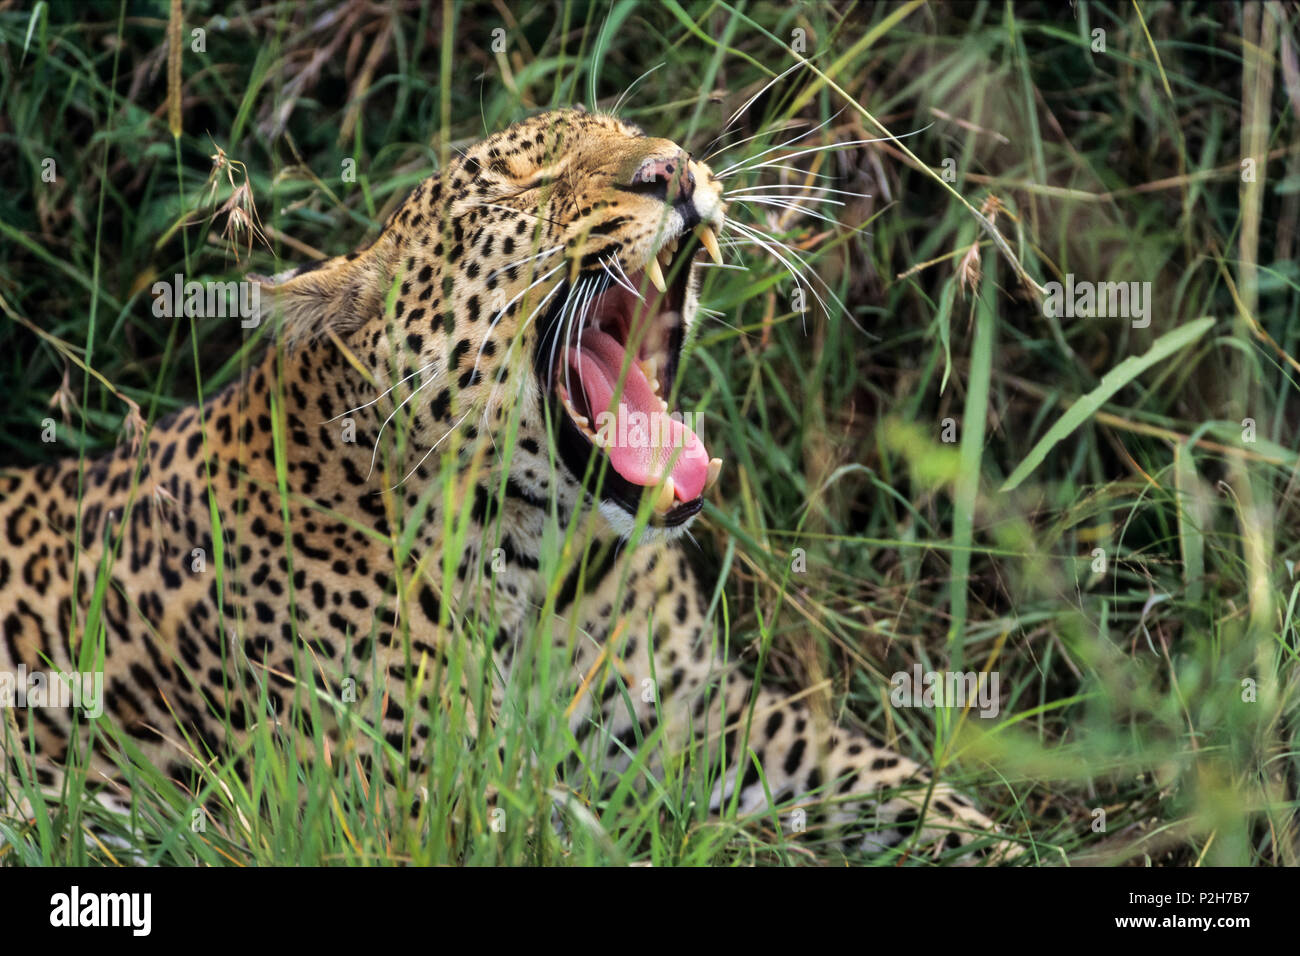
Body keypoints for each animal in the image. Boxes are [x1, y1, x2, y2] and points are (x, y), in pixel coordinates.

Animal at [0, 108, 1013, 863]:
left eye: (636, 135)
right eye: (520, 186)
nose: (673, 171)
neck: (549, 562)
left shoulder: (703, 711)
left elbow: (888, 781)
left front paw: (1001, 840)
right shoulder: (413, 800)